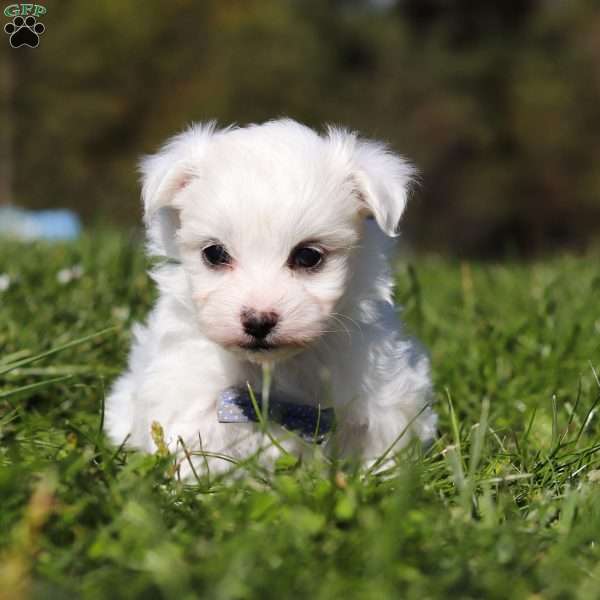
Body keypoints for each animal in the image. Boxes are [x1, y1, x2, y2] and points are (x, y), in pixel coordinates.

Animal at [105, 118, 436, 474]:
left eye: (308, 256)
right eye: (215, 253)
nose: (258, 321)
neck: (274, 369)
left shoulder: (384, 398)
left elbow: (383, 448)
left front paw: (381, 477)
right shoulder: (189, 394)